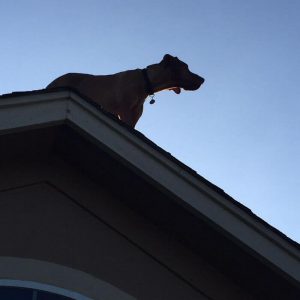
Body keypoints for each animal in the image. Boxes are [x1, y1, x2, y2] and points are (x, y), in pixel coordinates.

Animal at [47, 54, 205, 127]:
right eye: (186, 67)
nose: (203, 79)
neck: (145, 81)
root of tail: (52, 82)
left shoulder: (133, 117)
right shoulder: (124, 112)